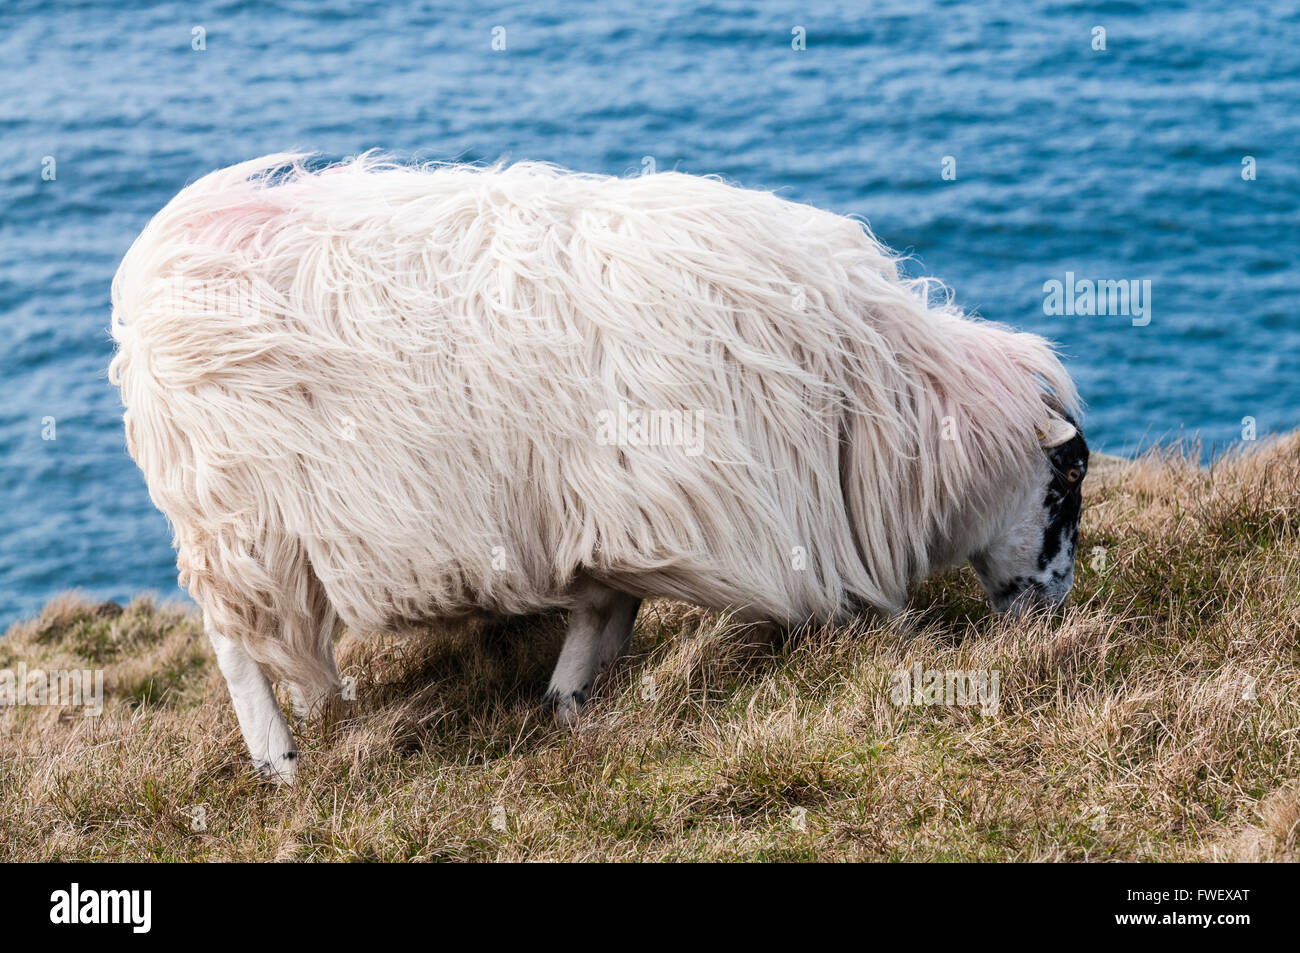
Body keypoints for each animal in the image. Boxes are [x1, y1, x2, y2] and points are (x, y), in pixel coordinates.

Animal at [110, 154, 1087, 781]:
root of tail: (164, 255)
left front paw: (574, 699)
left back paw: (319, 709)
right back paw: (277, 757)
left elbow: (607, 611)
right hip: (236, 518)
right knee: (233, 643)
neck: (873, 397)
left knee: (286, 636)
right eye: (1068, 483)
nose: (1055, 612)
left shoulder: (620, 507)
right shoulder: (692, 505)